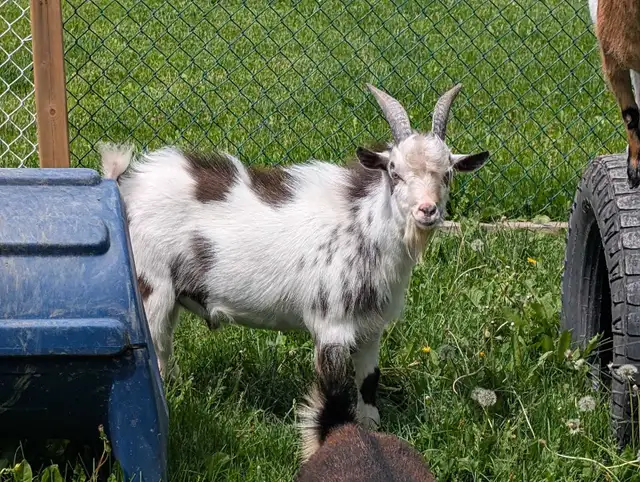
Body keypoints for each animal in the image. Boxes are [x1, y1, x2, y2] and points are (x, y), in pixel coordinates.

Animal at [99, 83, 489, 429]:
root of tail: (127, 185)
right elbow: (333, 389)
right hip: (151, 287)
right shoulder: (332, 324)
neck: (361, 226)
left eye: (448, 173)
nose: (428, 210)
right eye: (394, 171)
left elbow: (369, 381)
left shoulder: (371, 326)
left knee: (163, 348)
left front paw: (371, 428)